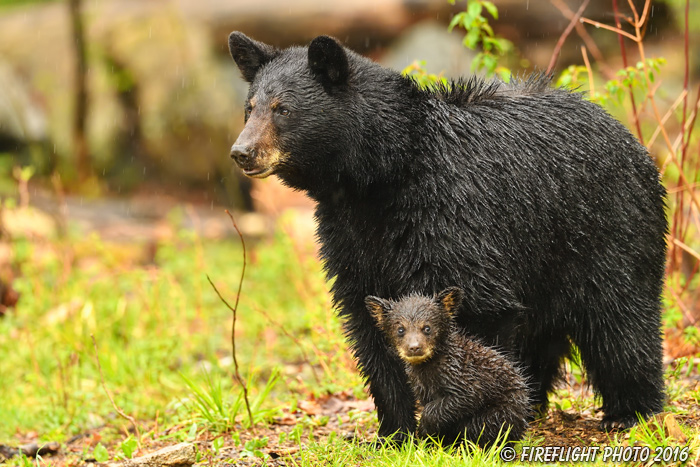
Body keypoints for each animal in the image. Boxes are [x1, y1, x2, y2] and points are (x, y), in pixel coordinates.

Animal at [366, 288, 532, 448]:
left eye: (427, 328)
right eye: (400, 329)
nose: (414, 347)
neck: (429, 366)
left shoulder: (461, 375)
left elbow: (465, 397)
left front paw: (424, 431)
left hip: (497, 414)